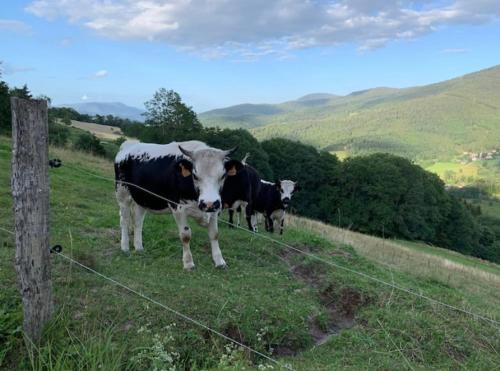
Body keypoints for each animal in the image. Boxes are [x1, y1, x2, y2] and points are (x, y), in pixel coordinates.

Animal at [114, 140, 239, 270]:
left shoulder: (215, 209)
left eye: (223, 176)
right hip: (122, 194)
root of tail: (130, 143)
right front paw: (188, 263)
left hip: (142, 199)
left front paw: (220, 261)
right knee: (124, 220)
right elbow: (185, 235)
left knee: (138, 222)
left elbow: (214, 234)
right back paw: (125, 247)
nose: (208, 203)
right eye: (195, 175)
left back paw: (139, 247)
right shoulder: (178, 209)